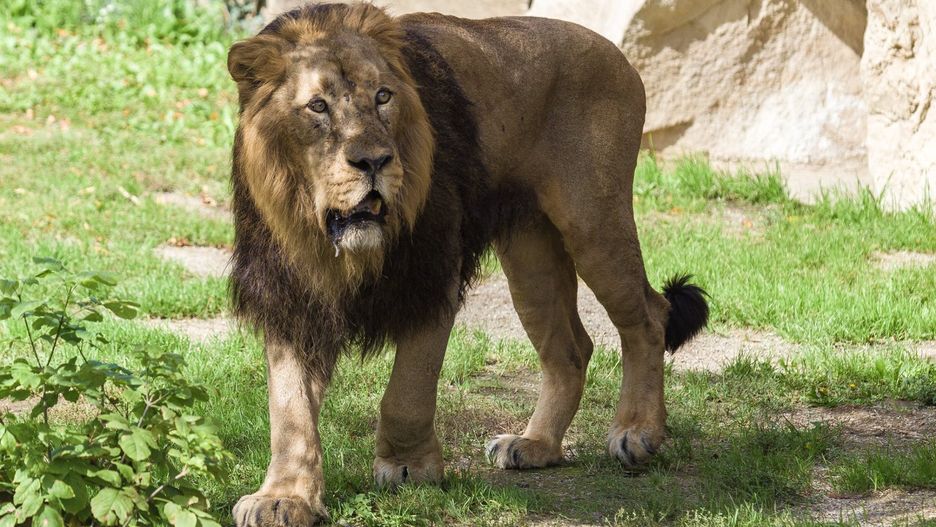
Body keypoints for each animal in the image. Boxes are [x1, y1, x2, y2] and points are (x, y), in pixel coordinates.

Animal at [226, 3, 709, 525]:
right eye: (317, 106)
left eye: (383, 96)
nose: (374, 161)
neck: (330, 241)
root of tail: (617, 54)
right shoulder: (289, 298)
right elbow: (289, 411)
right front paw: (284, 497)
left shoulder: (435, 270)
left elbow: (408, 391)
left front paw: (409, 469)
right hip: (530, 256)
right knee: (571, 348)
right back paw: (535, 445)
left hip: (593, 221)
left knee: (648, 317)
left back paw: (637, 432)